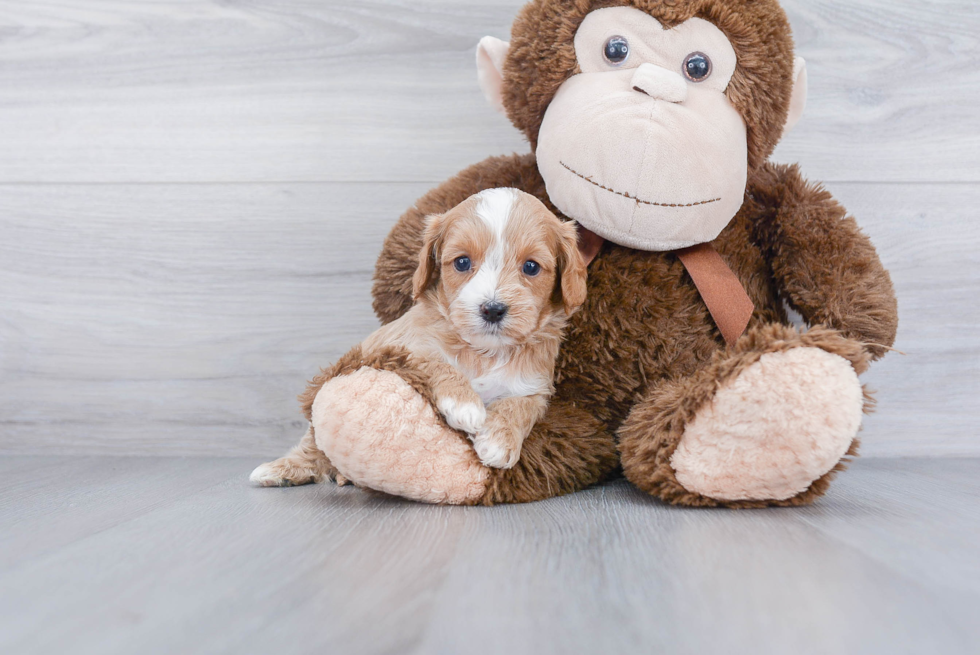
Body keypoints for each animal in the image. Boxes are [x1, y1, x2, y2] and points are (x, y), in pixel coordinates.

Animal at [255, 187, 588, 484]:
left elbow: (521, 405)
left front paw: (500, 440)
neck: (485, 352)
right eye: (462, 262)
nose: (492, 309)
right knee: (312, 445)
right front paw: (465, 404)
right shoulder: (404, 347)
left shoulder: (535, 386)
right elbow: (435, 362)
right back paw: (281, 470)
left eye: (531, 267)